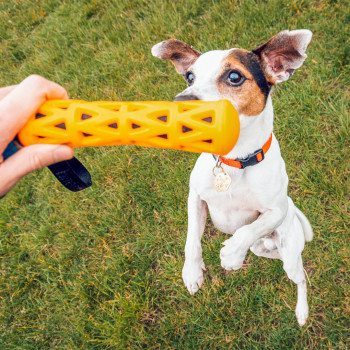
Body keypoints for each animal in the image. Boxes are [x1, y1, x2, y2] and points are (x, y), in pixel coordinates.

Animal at [152, 29, 314, 326]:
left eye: (234, 76)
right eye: (189, 76)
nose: (178, 104)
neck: (234, 161)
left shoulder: (276, 210)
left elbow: (248, 228)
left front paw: (230, 253)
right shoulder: (196, 197)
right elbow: (192, 238)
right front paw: (193, 271)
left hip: (290, 252)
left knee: (300, 278)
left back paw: (301, 311)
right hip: (264, 249)